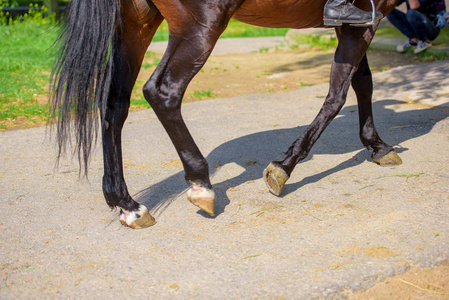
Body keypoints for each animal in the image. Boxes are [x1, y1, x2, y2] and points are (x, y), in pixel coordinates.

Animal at [49, 0, 400, 227]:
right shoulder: (366, 21)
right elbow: (339, 94)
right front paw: (283, 167)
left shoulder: (357, 24)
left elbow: (362, 82)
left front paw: (377, 144)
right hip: (200, 25)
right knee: (162, 92)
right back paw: (200, 183)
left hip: (137, 24)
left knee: (115, 105)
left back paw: (127, 205)